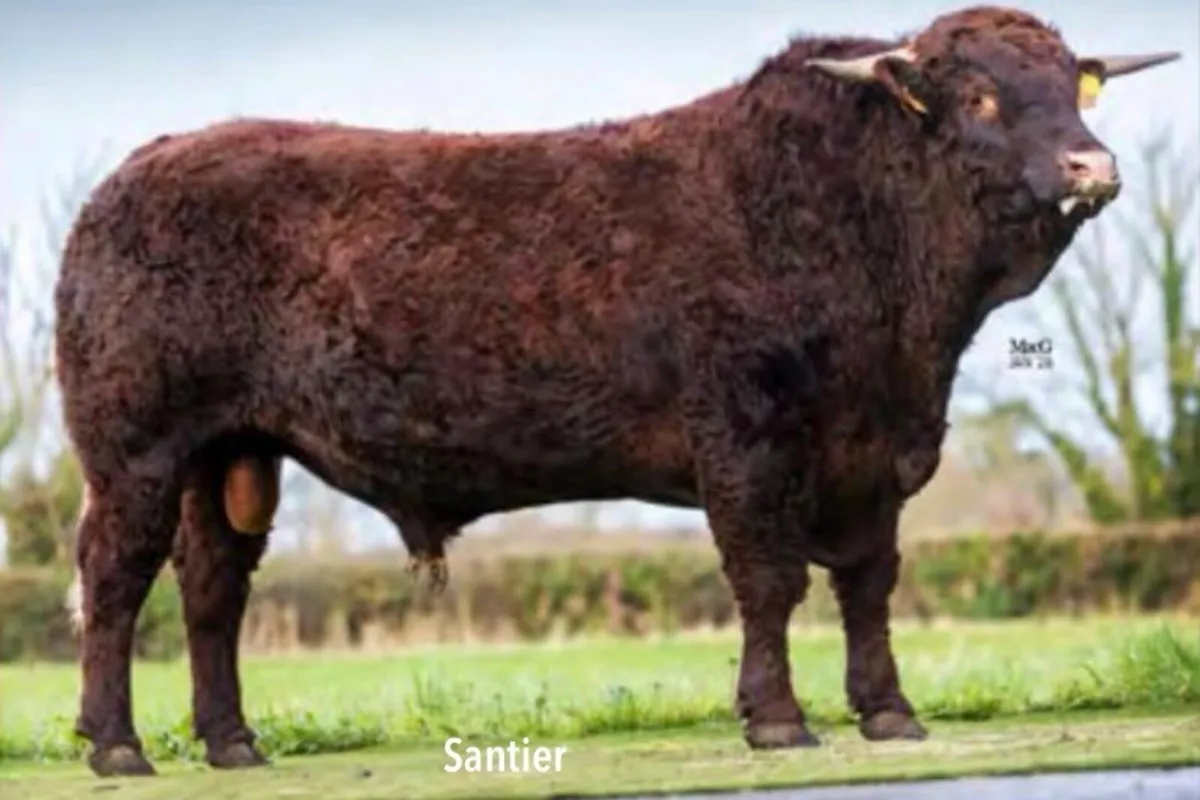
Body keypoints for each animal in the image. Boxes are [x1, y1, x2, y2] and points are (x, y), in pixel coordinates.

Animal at [54, 4, 1178, 778]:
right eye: (979, 95)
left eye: (1072, 85)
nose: (1094, 164)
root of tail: (132, 173)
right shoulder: (747, 437)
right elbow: (769, 579)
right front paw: (778, 717)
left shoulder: (875, 449)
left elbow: (868, 582)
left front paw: (888, 710)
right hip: (136, 449)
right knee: (115, 580)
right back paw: (116, 746)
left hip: (230, 452)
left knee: (213, 589)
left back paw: (232, 741)